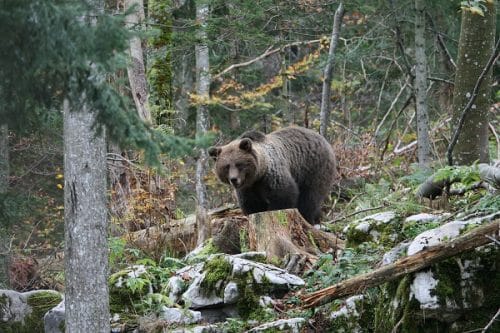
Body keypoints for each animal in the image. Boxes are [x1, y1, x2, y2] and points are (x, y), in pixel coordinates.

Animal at [207, 126, 336, 224]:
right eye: (226, 166)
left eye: (239, 164)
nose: (234, 179)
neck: (257, 176)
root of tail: (322, 138)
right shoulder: (247, 189)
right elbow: (251, 204)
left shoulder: (272, 177)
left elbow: (283, 196)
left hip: (314, 168)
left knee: (310, 197)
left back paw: (308, 218)